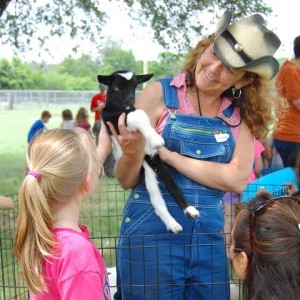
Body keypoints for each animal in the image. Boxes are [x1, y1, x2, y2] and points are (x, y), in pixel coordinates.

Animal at [97, 71, 198, 234]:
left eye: (134, 86)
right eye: (117, 88)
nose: (130, 99)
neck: (121, 108)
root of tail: (146, 160)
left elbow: (141, 114)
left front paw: (154, 138)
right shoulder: (114, 121)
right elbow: (137, 116)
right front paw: (156, 140)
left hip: (156, 164)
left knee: (171, 184)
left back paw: (188, 212)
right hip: (146, 172)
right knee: (157, 199)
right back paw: (174, 224)